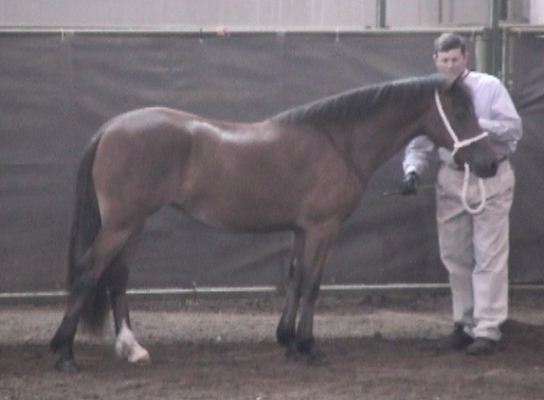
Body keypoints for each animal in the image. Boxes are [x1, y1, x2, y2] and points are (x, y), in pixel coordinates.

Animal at [50, 73, 498, 370]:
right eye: (460, 111)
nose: (490, 164)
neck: (339, 142)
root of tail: (111, 128)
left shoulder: (301, 229)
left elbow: (295, 279)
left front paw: (288, 342)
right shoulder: (322, 228)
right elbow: (313, 285)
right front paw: (310, 346)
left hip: (133, 224)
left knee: (116, 277)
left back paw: (131, 348)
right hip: (122, 224)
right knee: (89, 271)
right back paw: (64, 352)